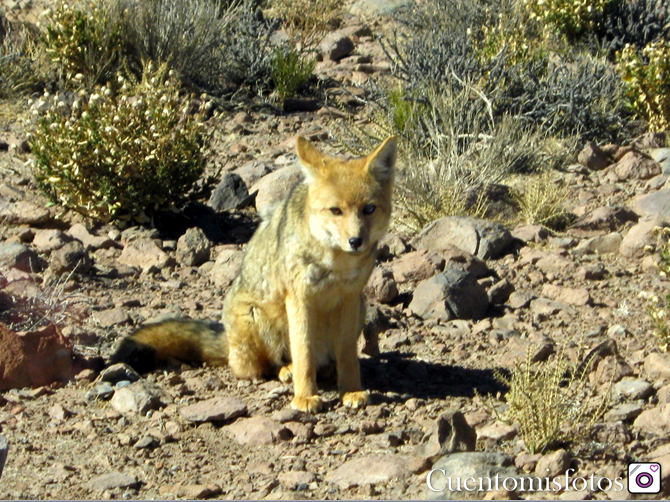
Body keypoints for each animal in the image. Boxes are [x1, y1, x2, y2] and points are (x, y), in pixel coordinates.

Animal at [109, 134, 394, 412]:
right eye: (336, 210)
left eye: (368, 209)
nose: (356, 241)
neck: (335, 265)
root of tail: (227, 337)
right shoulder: (299, 298)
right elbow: (303, 353)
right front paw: (304, 397)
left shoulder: (349, 298)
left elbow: (348, 356)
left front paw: (351, 390)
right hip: (255, 316)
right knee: (267, 367)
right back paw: (287, 370)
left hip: (360, 309)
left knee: (324, 359)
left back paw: (327, 370)